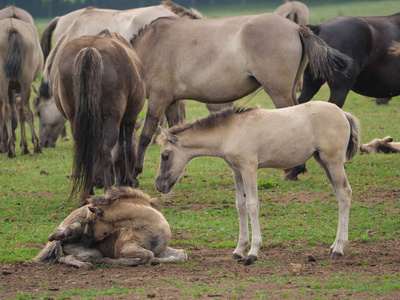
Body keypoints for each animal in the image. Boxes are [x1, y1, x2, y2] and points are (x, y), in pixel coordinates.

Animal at [32, 186, 188, 268]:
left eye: (90, 222)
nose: (86, 241)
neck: (152, 227)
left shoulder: (161, 250)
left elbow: (181, 254)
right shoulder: (125, 248)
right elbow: (148, 255)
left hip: (91, 253)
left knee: (68, 257)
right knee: (61, 243)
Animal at [54, 30, 145, 202]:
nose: (98, 182)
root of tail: (90, 49)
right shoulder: (129, 120)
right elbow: (125, 148)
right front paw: (127, 181)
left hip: (75, 120)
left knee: (87, 153)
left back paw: (88, 194)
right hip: (112, 119)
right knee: (105, 151)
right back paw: (109, 191)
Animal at [155, 101, 360, 264]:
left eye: (165, 155)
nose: (159, 185)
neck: (230, 131)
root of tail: (343, 114)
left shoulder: (249, 168)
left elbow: (252, 205)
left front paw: (253, 252)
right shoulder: (237, 171)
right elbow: (240, 205)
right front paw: (238, 250)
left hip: (333, 161)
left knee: (345, 193)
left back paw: (339, 248)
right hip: (323, 161)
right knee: (339, 194)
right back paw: (333, 246)